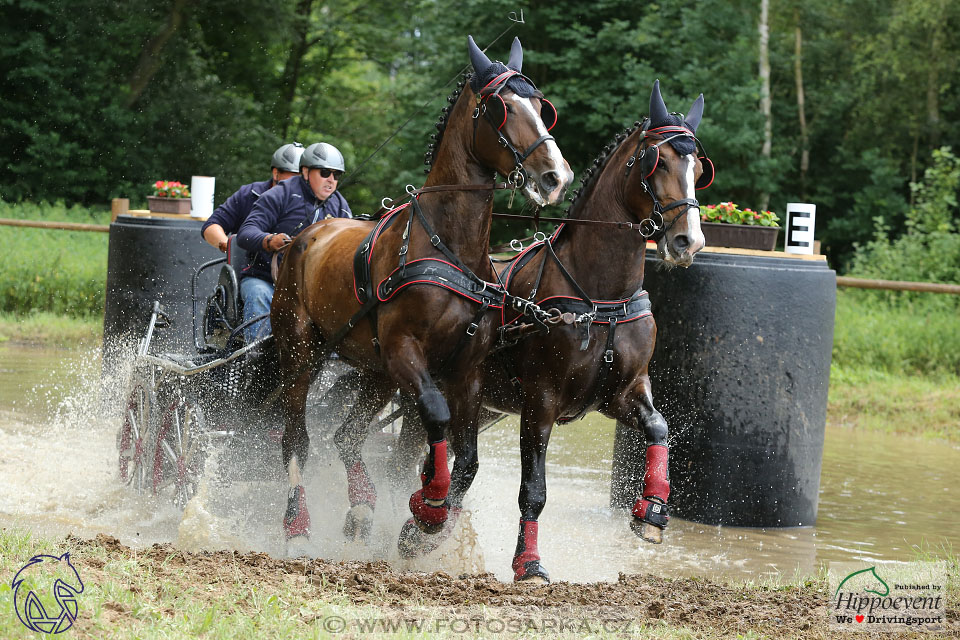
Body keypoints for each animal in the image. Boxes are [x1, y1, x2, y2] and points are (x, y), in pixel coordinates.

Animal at [266, 35, 572, 548]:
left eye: (541, 107)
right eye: (501, 108)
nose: (556, 175)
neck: (449, 246)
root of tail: (305, 236)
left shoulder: (466, 370)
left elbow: (467, 459)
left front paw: (426, 520)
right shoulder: (407, 353)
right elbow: (436, 417)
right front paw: (428, 504)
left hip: (375, 371)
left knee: (346, 435)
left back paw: (362, 508)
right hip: (301, 351)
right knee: (296, 438)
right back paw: (297, 522)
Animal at [480, 80, 712, 580]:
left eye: (699, 169)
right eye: (656, 161)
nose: (689, 242)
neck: (601, 297)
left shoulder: (621, 391)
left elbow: (659, 427)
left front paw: (652, 512)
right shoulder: (540, 402)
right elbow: (534, 490)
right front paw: (528, 563)